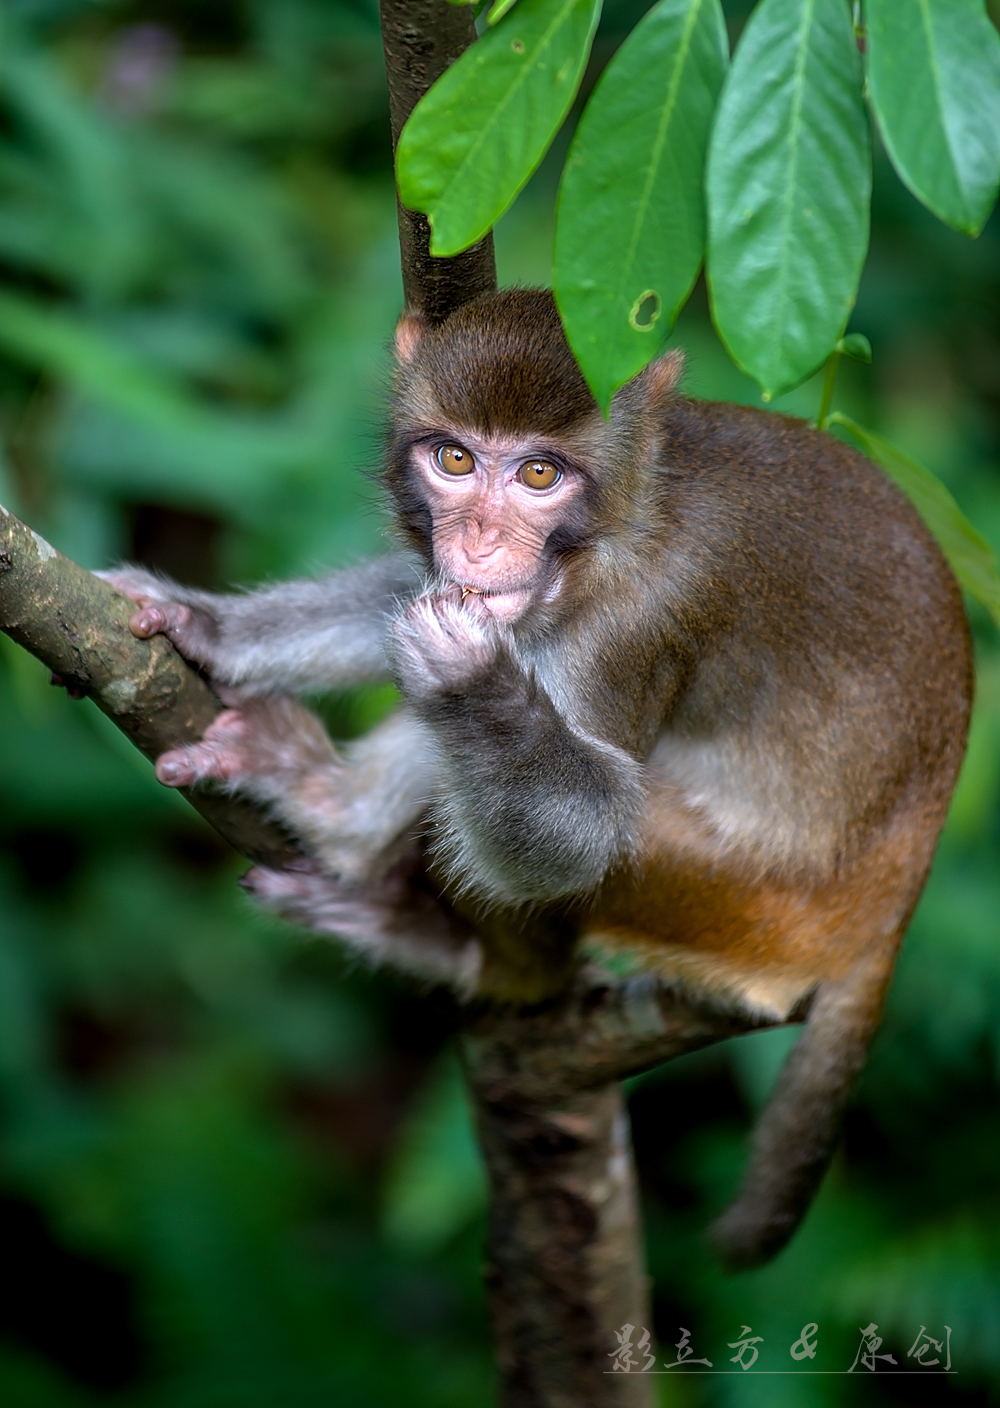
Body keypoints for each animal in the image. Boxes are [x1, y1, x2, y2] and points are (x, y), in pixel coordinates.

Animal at [100, 285, 969, 1267]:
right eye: (455, 459)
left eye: (540, 477)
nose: (477, 543)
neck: (628, 522)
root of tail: (890, 913)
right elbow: (408, 597)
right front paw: (209, 625)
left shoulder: (643, 621)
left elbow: (586, 834)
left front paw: (473, 682)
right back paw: (341, 818)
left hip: (743, 903)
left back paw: (458, 943)